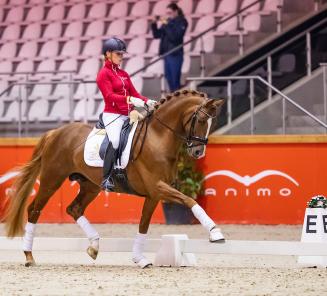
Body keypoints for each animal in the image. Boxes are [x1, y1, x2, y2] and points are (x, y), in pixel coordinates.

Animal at [4, 89, 226, 268]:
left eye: (212, 122)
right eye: (200, 120)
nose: (197, 152)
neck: (158, 137)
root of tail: (55, 132)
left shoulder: (154, 194)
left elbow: (143, 225)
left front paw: (140, 259)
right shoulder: (157, 187)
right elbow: (189, 200)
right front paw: (216, 233)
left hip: (90, 185)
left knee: (74, 209)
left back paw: (94, 246)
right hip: (52, 179)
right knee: (34, 209)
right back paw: (29, 256)